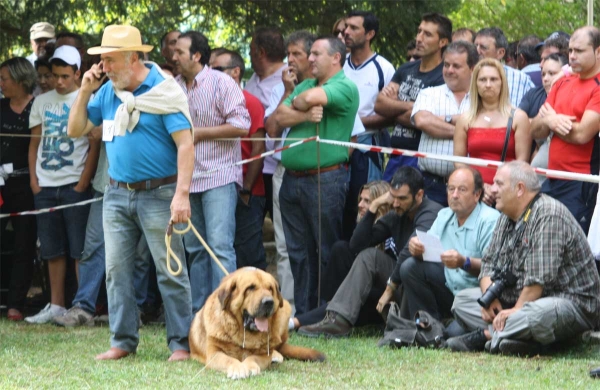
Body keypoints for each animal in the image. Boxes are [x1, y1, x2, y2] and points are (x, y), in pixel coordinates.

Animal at [190, 266, 326, 380]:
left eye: (270, 288)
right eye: (250, 288)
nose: (269, 302)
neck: (244, 335)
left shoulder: (264, 355)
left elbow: (253, 357)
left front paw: (249, 366)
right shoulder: (214, 353)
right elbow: (228, 359)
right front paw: (238, 368)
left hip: (285, 309)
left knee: (278, 347)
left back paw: (276, 355)